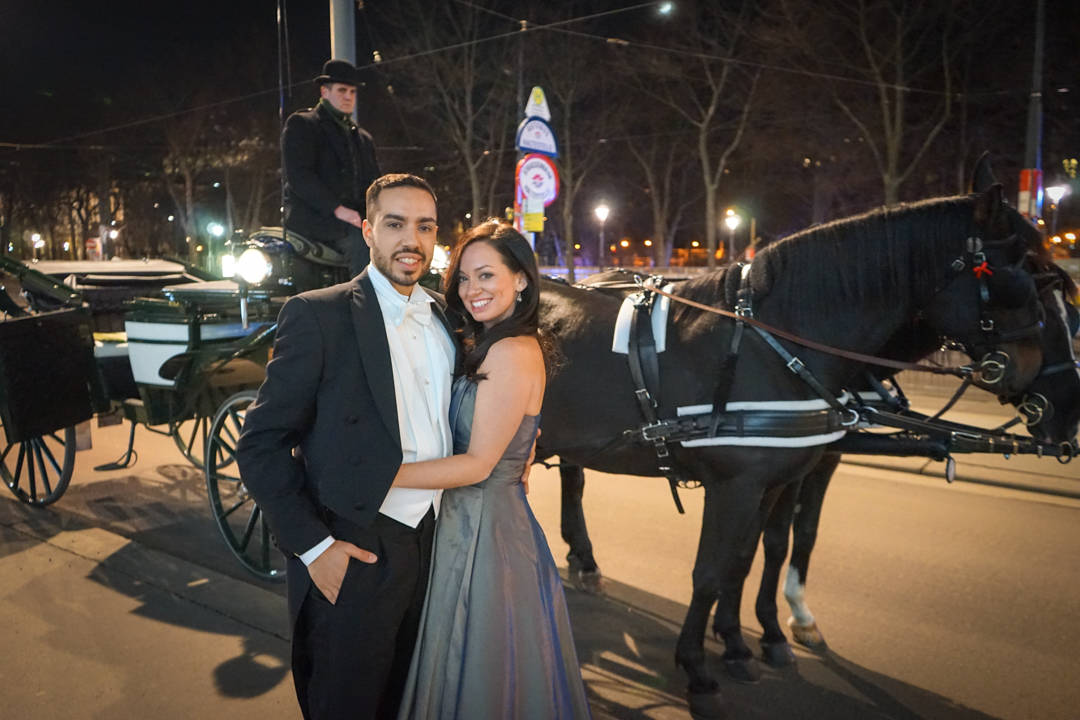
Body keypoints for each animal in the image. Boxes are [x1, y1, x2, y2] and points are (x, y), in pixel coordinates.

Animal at [535, 184, 1058, 716]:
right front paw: (698, 670)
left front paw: (740, 644)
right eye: (1020, 275)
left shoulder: (774, 481)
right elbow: (710, 572)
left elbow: (749, 555)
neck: (773, 343)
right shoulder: (734, 486)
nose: (1028, 373)